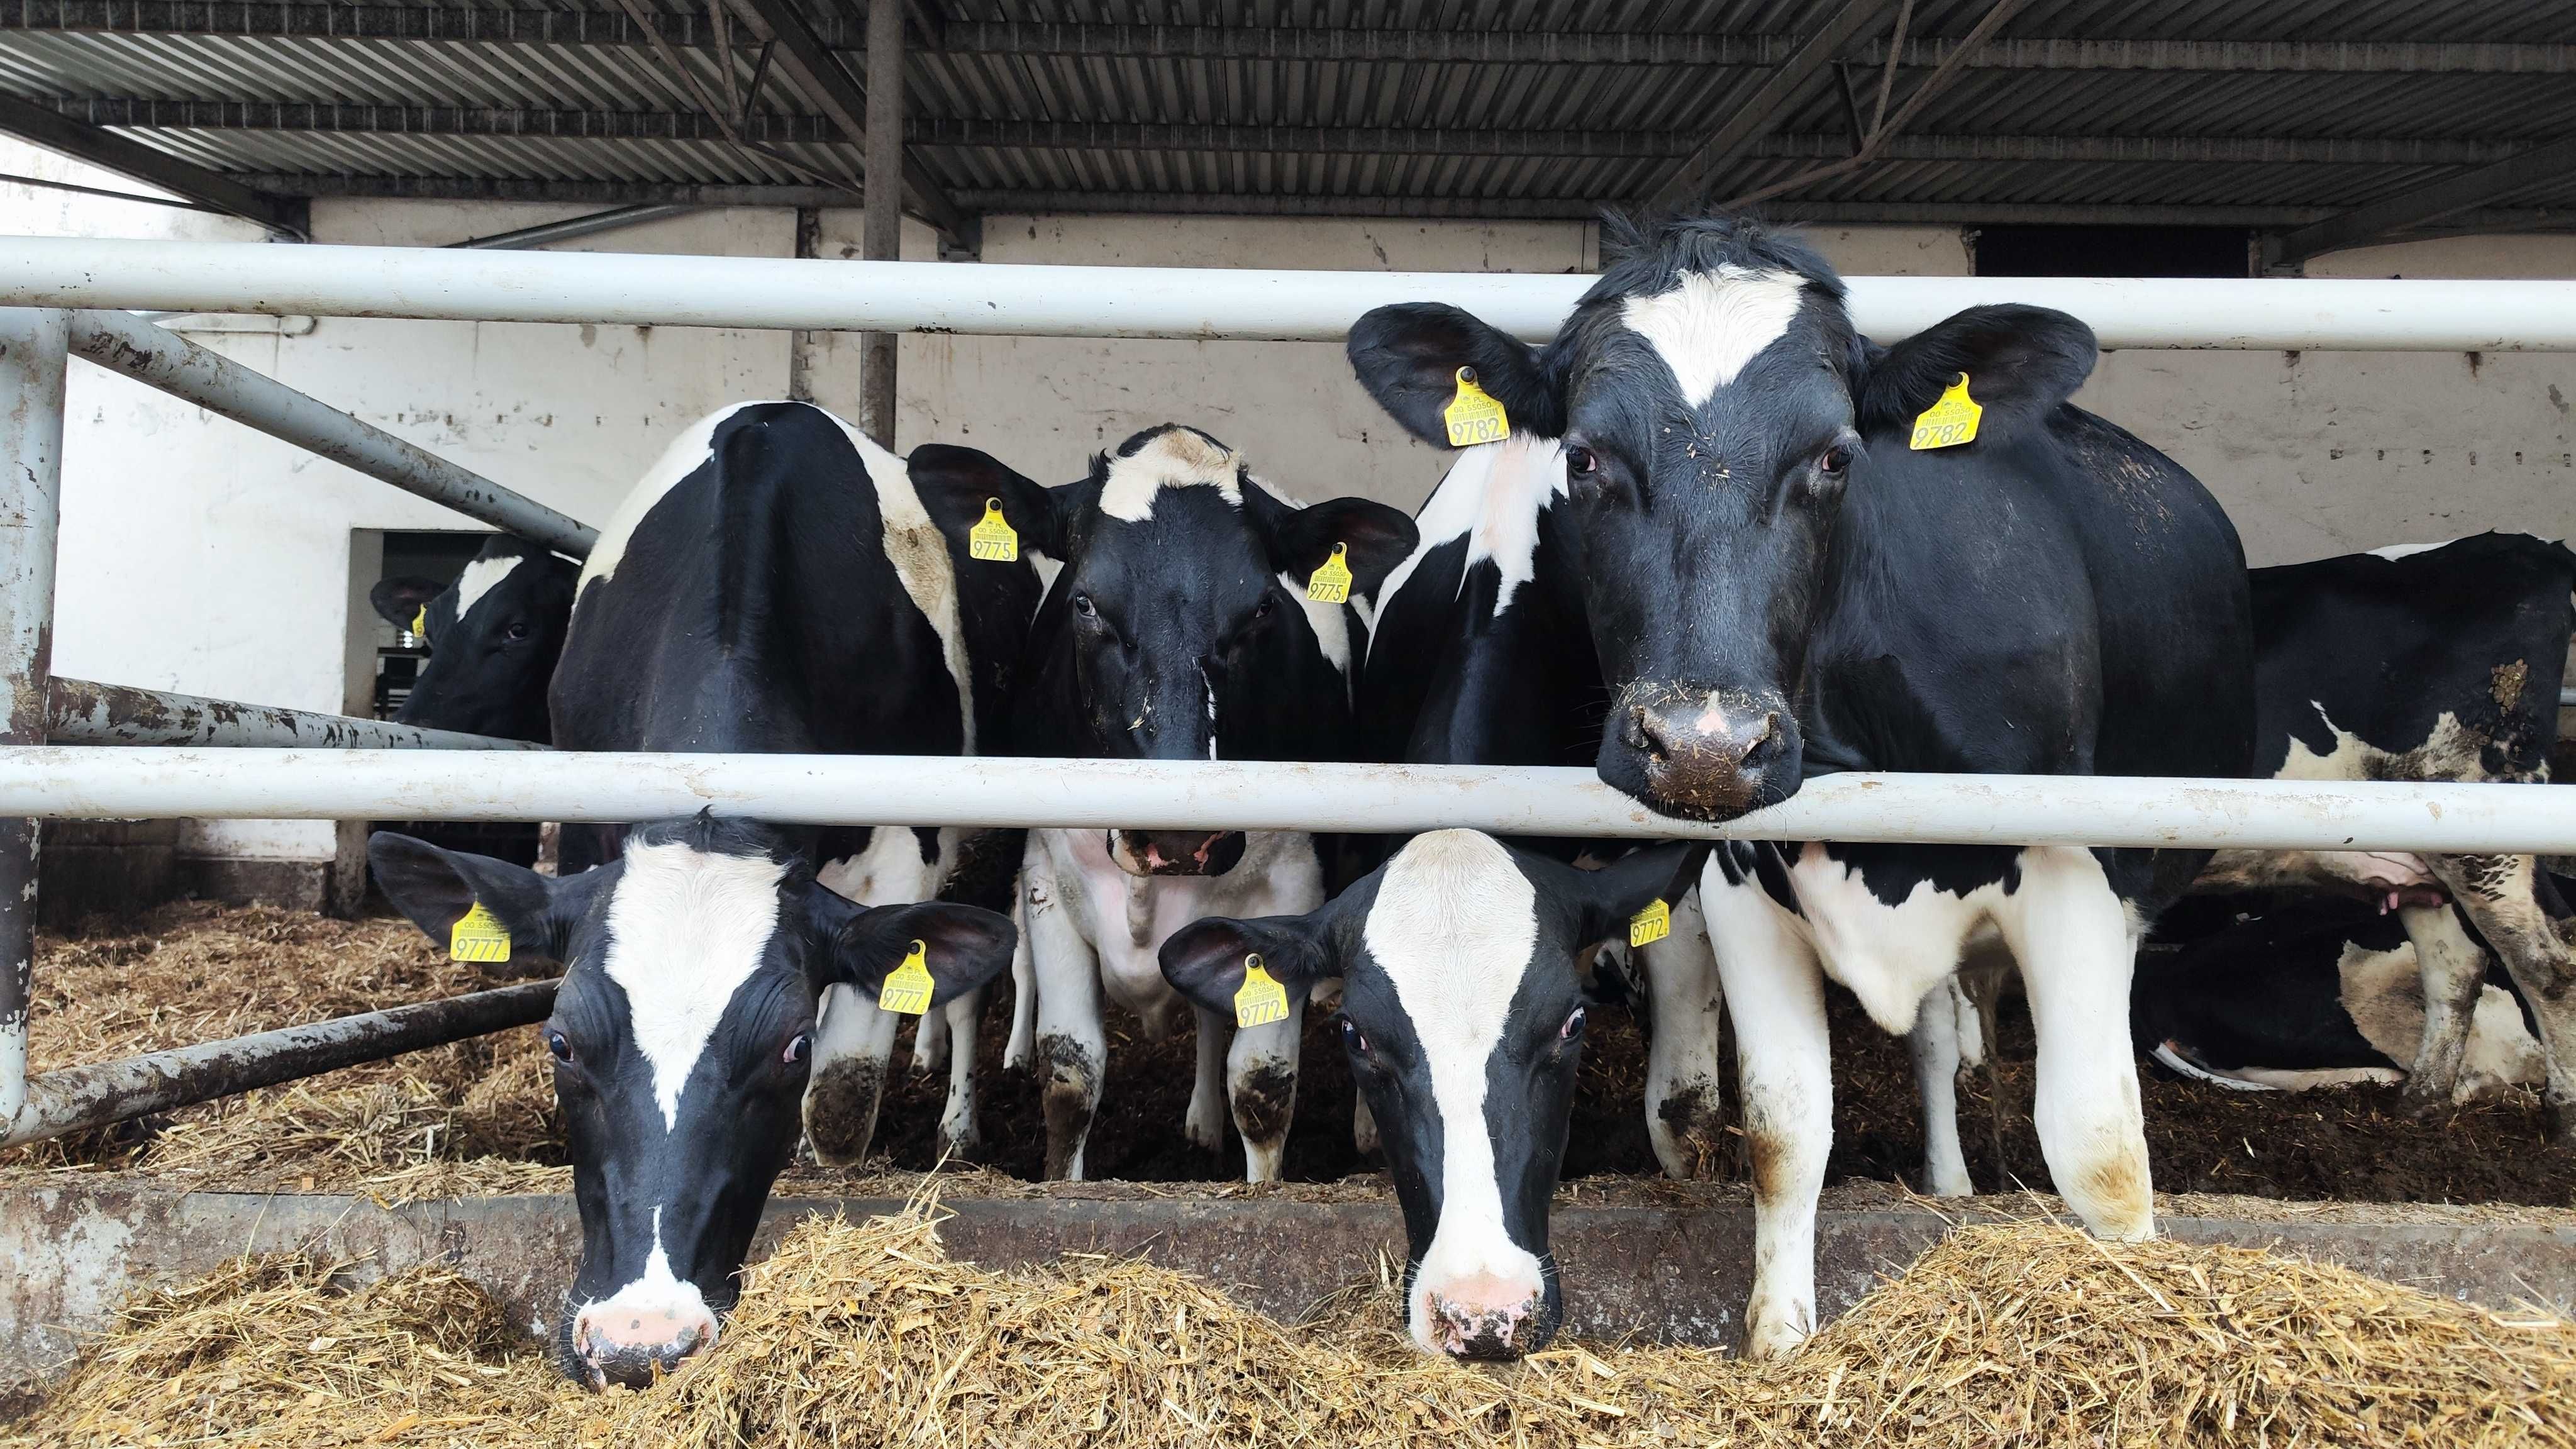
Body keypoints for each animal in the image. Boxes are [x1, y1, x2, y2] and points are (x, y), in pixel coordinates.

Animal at [969, 423, 1411, 1180]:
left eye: (1263, 607)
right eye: (1084, 603)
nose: (1178, 837)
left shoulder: (1289, 886)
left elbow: (1262, 1084)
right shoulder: (1048, 877)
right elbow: (1070, 1077)